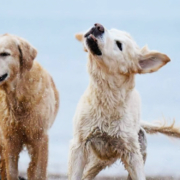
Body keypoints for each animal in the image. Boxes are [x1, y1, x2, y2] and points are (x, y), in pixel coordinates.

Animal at [68, 23, 180, 180]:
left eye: (119, 45)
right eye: (109, 30)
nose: (98, 26)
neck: (108, 98)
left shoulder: (131, 153)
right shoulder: (79, 144)